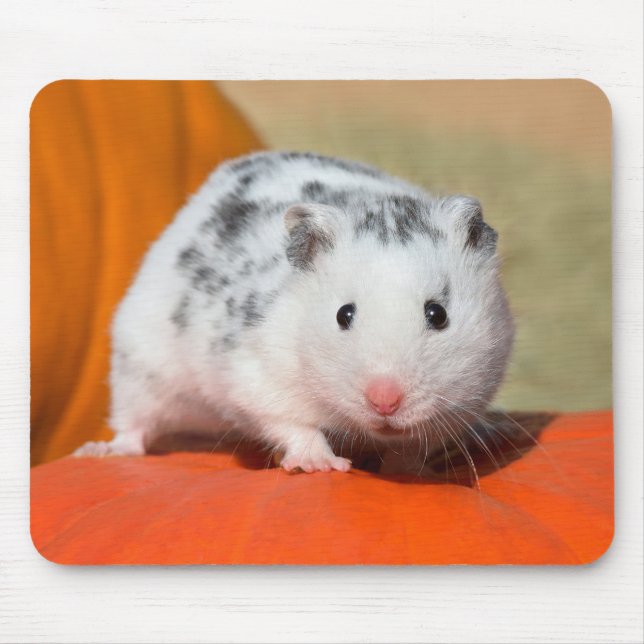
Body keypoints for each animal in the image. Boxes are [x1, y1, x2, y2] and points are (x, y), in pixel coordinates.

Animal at [74, 151, 514, 473]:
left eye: (438, 314)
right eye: (343, 315)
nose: (385, 402)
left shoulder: (468, 398)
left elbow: (412, 450)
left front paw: (409, 472)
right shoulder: (259, 380)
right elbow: (294, 425)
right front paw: (322, 465)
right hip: (139, 365)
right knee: (133, 425)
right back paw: (99, 452)